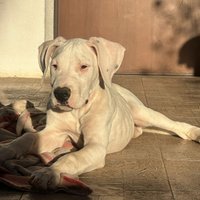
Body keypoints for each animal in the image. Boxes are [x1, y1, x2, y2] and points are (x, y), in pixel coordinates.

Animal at [0, 36, 200, 190]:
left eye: (84, 66)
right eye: (54, 66)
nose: (61, 93)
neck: (78, 111)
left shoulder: (96, 146)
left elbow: (72, 157)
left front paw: (49, 172)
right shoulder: (54, 132)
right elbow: (27, 138)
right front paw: (5, 149)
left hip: (143, 112)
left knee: (176, 126)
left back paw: (194, 132)